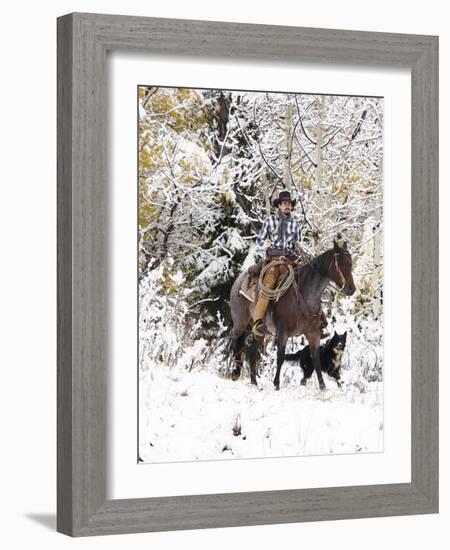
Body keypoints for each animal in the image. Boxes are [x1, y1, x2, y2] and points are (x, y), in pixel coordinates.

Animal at [229, 242, 356, 392]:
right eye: (340, 262)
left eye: (350, 263)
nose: (351, 288)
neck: (305, 295)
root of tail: (238, 281)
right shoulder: (283, 332)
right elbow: (280, 357)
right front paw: (276, 384)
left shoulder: (314, 333)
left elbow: (316, 360)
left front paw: (322, 386)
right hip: (240, 322)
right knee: (235, 340)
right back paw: (234, 371)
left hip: (260, 330)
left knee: (252, 350)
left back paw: (254, 382)